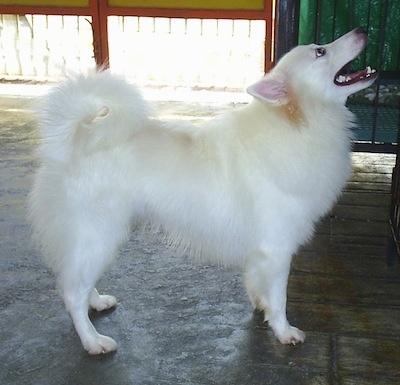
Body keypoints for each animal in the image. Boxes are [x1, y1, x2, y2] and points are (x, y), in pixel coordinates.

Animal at [28, 28, 378, 354]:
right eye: (321, 51)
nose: (361, 30)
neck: (297, 124)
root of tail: (75, 138)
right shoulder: (277, 249)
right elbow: (280, 298)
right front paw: (284, 332)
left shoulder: (260, 252)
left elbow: (257, 284)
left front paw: (260, 306)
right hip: (98, 235)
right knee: (71, 293)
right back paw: (93, 341)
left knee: (77, 281)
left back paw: (97, 302)